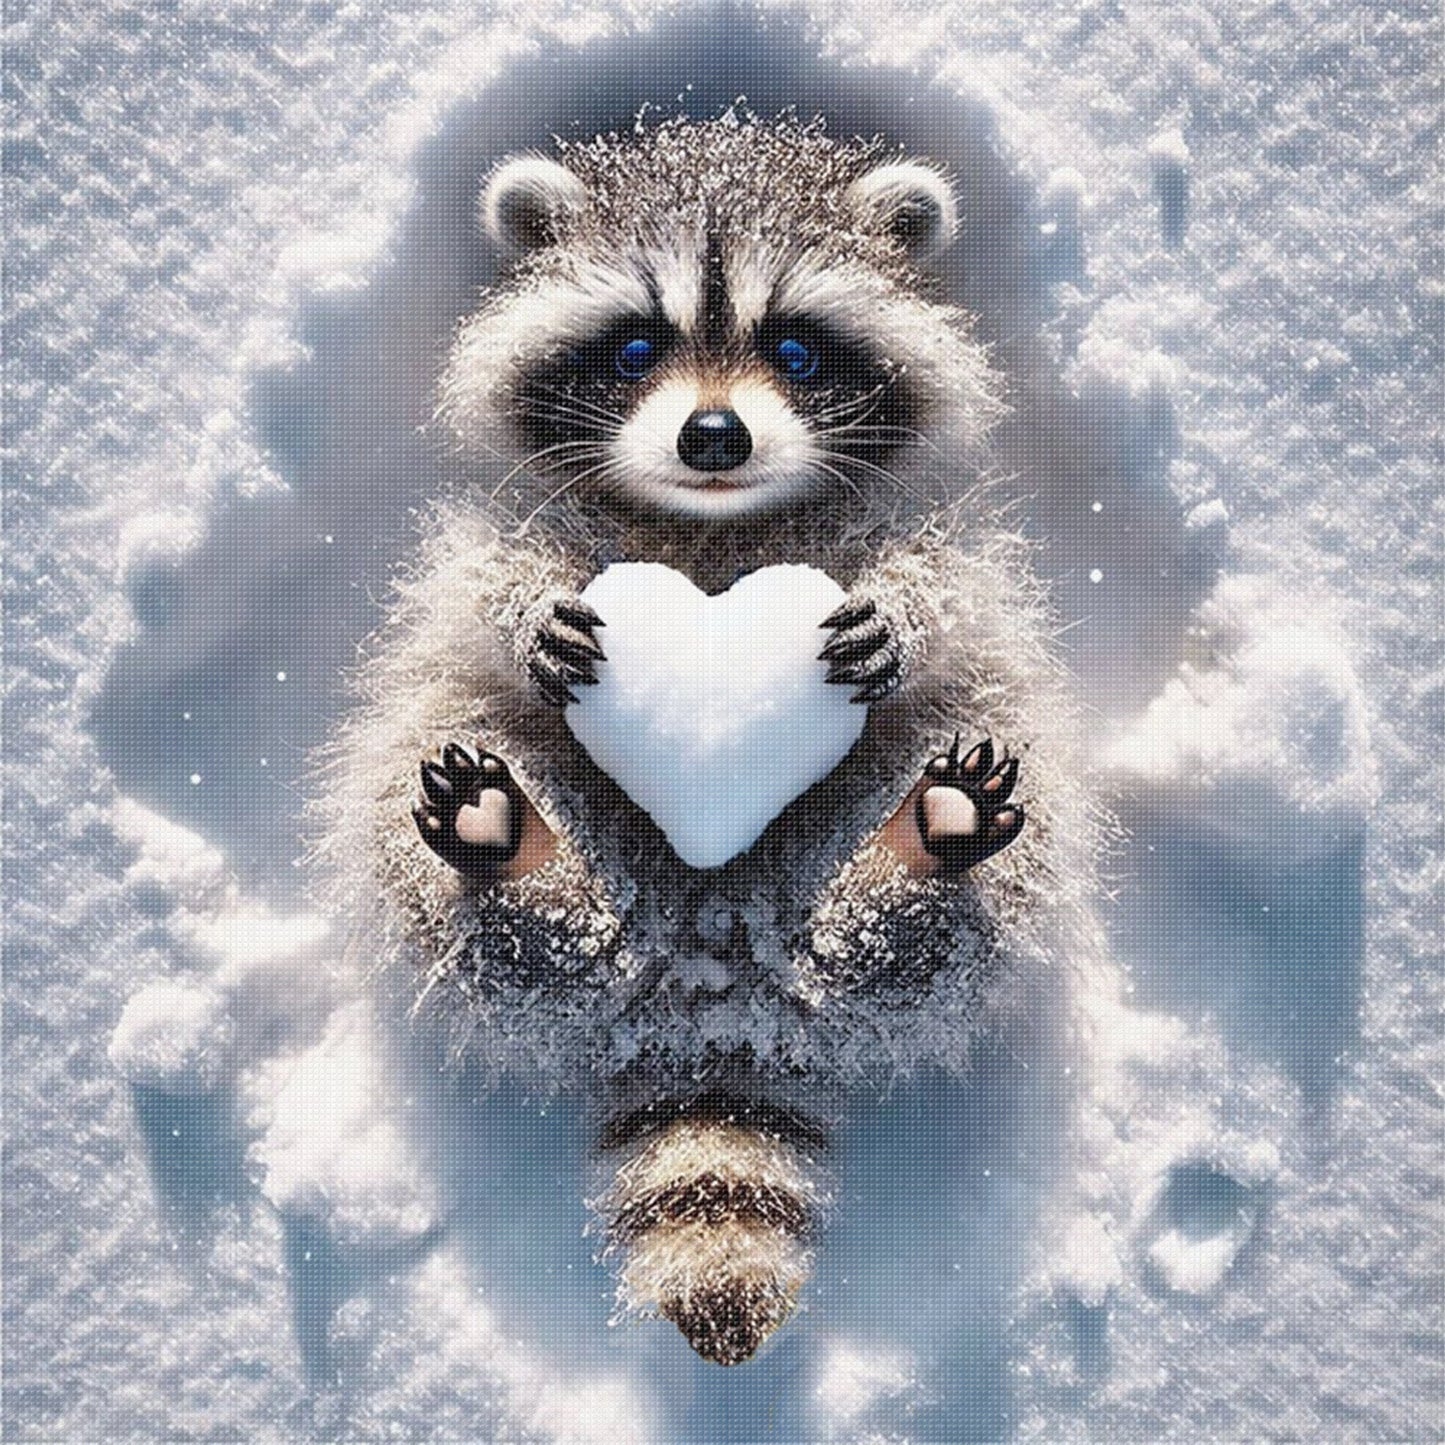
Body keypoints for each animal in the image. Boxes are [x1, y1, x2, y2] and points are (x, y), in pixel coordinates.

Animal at [314, 117, 1095, 1365]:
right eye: (636, 346)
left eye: (796, 348)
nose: (713, 435)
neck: (711, 525)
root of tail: (710, 990)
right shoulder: (520, 519)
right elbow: (480, 577)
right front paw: (523, 612)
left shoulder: (919, 523)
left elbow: (948, 581)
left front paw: (903, 612)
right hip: (478, 786)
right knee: (470, 891)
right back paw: (504, 843)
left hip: (926, 798)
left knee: (949, 910)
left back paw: (928, 840)